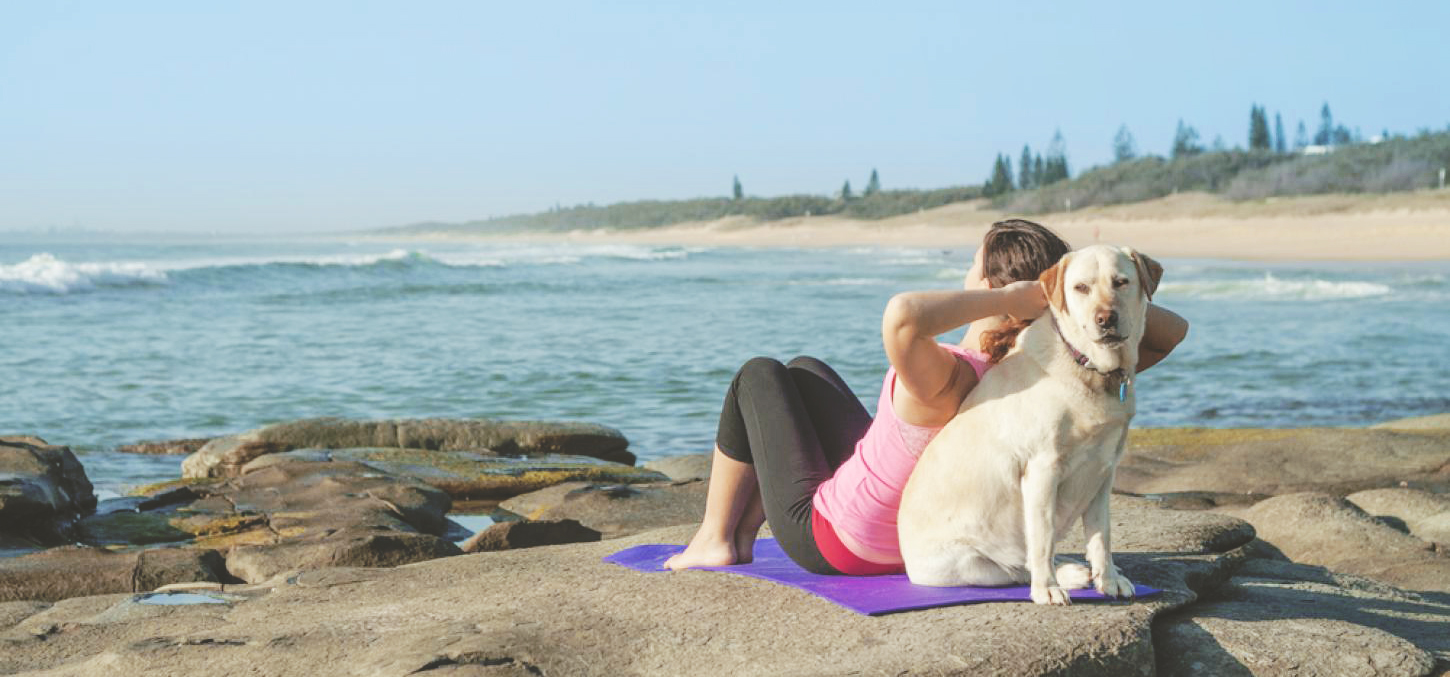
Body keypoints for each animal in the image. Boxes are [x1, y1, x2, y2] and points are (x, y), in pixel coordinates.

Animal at [899, 246, 1160, 605]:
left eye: (1121, 282)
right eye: (1081, 288)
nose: (1106, 319)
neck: (1089, 368)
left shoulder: (1104, 470)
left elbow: (1101, 535)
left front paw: (1108, 580)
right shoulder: (1042, 468)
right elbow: (1044, 538)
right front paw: (1047, 589)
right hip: (970, 563)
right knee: (1016, 568)